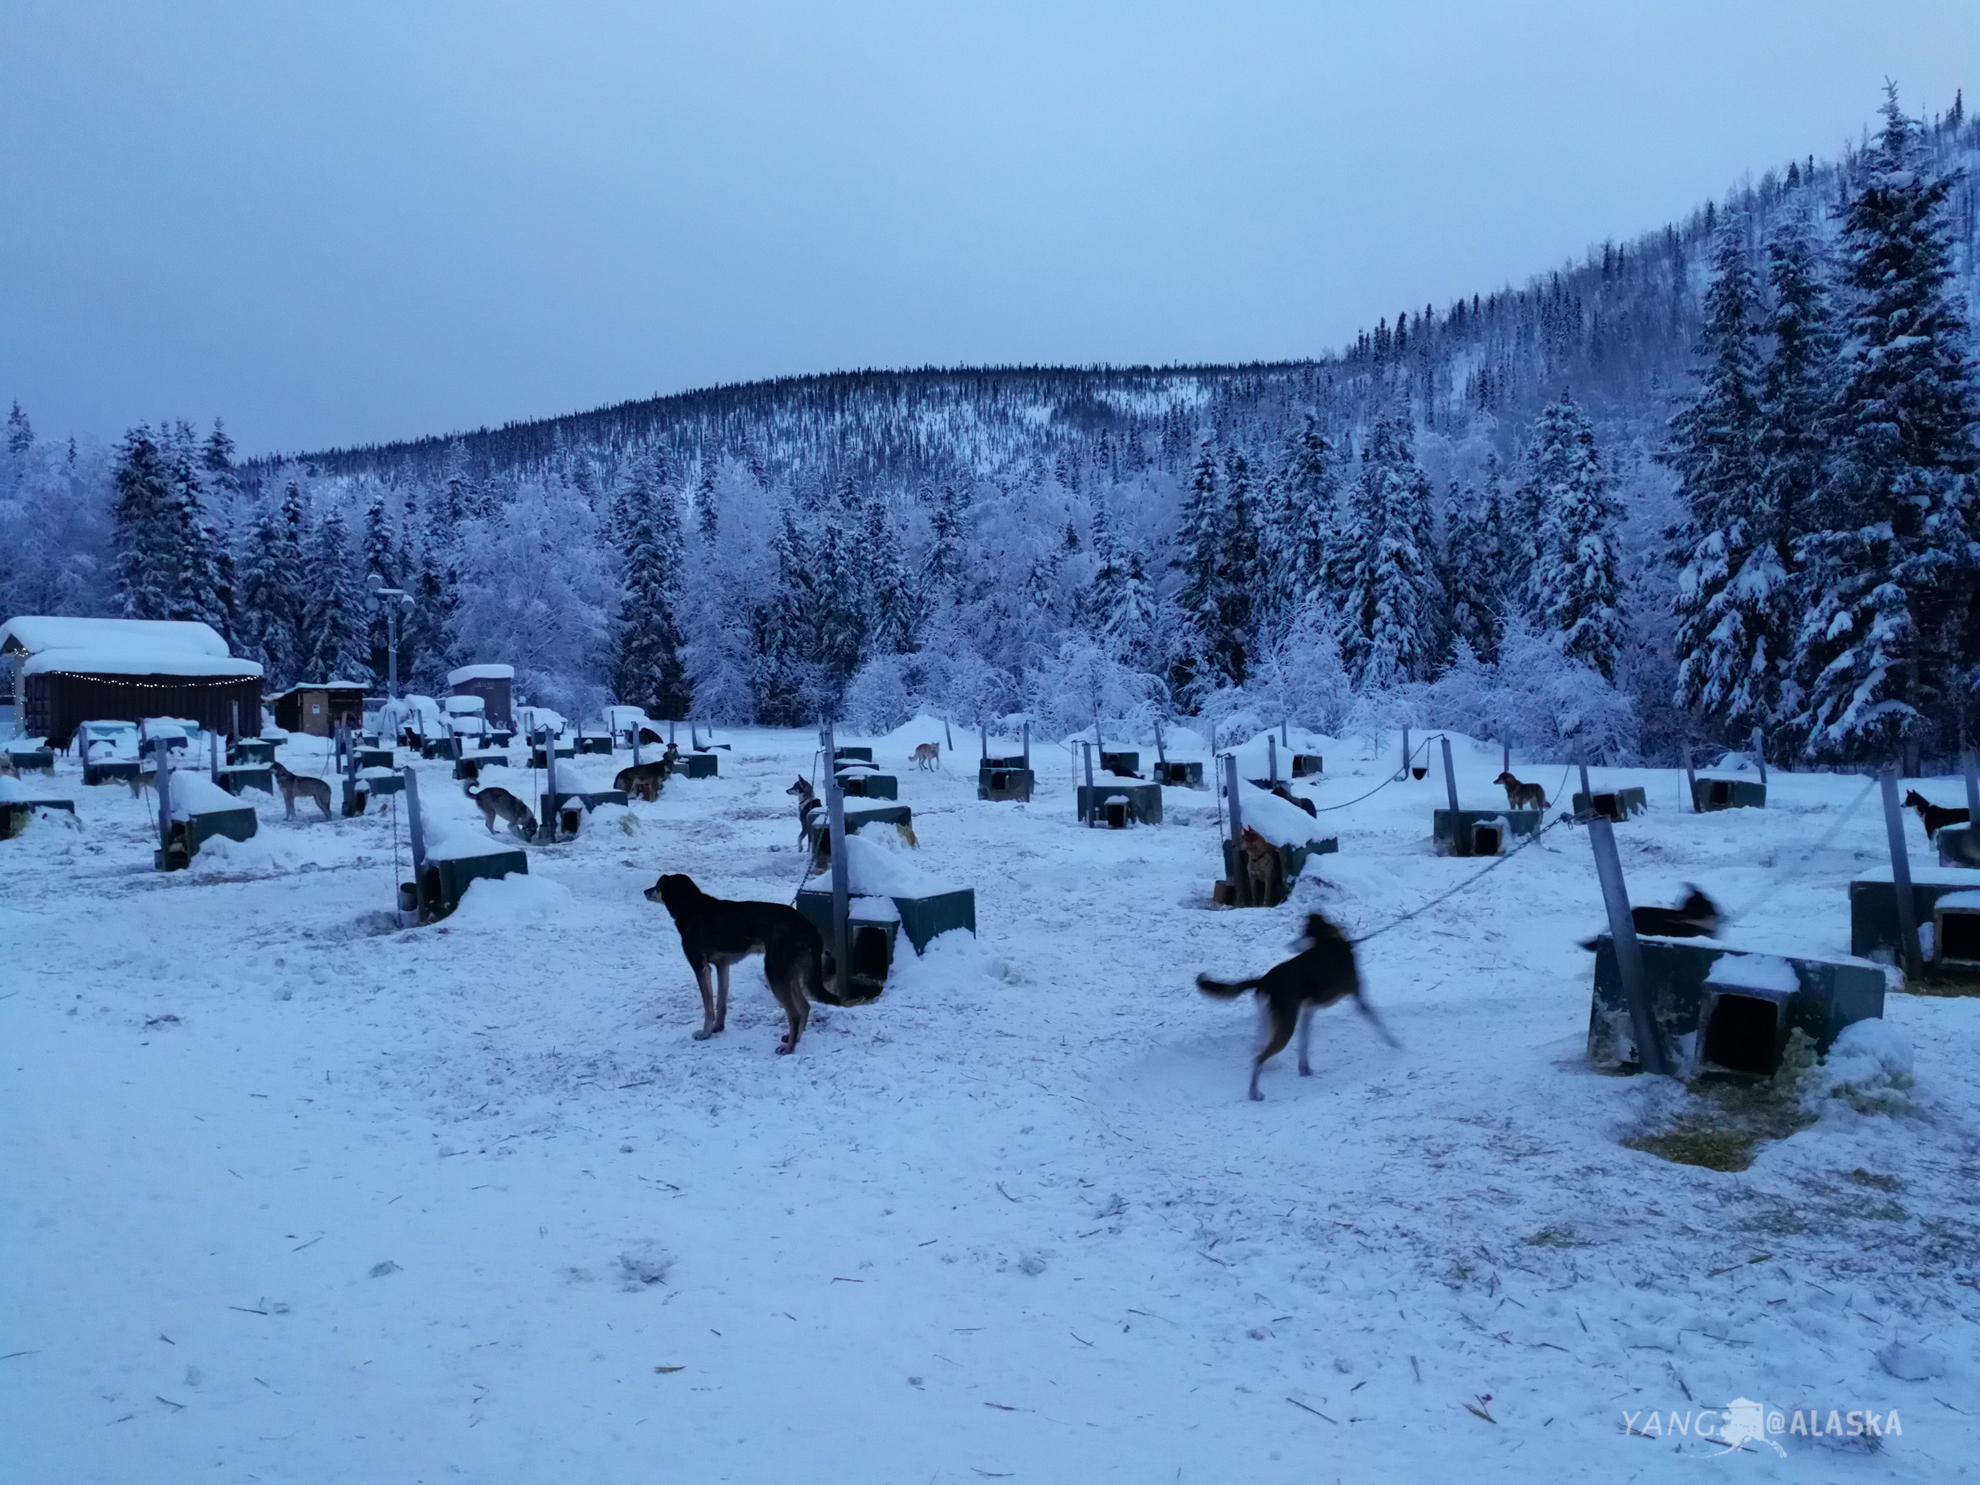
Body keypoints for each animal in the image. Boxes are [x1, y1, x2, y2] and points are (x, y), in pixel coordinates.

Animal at [645, 871, 839, 1061]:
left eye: (658, 885)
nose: (645, 891)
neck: (690, 906)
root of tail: (808, 925)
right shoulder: (722, 966)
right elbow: (721, 1004)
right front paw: (717, 1028)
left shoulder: (701, 968)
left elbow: (708, 1006)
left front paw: (705, 1033)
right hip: (785, 974)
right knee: (805, 1007)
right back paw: (795, 1038)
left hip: (774, 974)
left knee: (795, 1014)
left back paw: (789, 1049)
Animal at [1195, 914, 1401, 1100]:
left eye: (1302, 934)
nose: (1290, 946)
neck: (1332, 942)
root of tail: (1264, 980)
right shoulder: (1358, 998)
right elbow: (1378, 1022)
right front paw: (1395, 1043)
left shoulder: (1308, 1011)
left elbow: (1304, 1043)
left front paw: (1305, 1069)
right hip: (1285, 1027)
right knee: (1259, 1057)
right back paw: (1254, 1092)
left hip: (1270, 1020)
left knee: (1256, 1049)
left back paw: (1268, 1068)